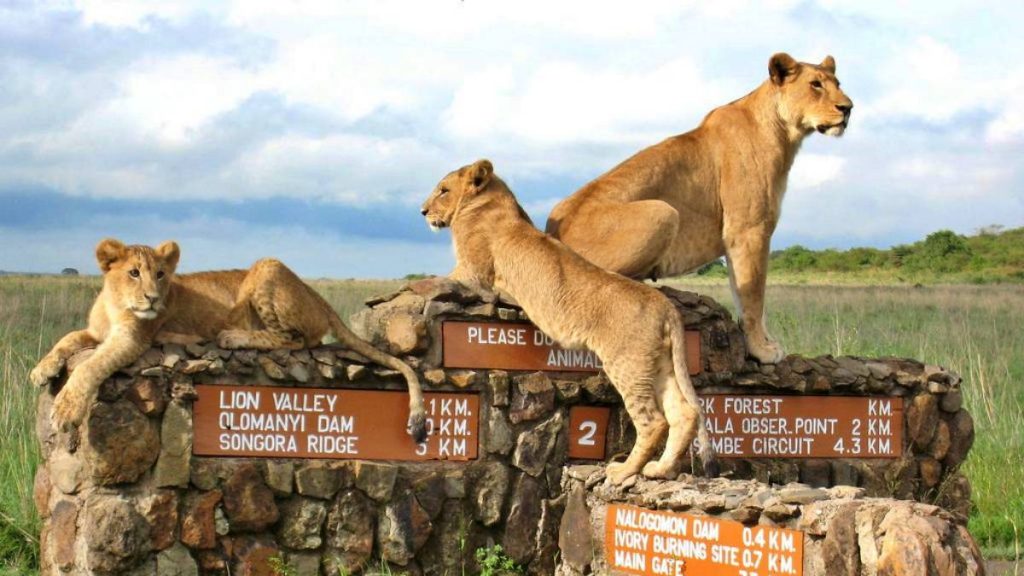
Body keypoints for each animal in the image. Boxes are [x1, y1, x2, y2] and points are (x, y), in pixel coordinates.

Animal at [29, 237, 425, 438]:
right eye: (134, 273)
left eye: (160, 275)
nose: (153, 299)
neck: (115, 303)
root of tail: (317, 294)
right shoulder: (95, 332)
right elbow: (66, 339)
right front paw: (41, 370)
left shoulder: (133, 339)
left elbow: (90, 367)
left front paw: (65, 410)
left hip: (267, 266)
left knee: (295, 340)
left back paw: (232, 337)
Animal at [419, 158, 716, 481]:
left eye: (443, 190)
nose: (422, 211)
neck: (492, 201)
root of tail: (664, 305)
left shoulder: (472, 273)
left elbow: (432, 280)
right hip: (659, 363)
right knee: (684, 413)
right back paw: (660, 469)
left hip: (628, 363)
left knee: (654, 421)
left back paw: (624, 471)